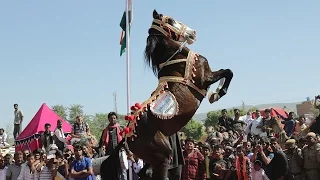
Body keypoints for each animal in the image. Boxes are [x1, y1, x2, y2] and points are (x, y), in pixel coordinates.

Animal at [101, 10, 234, 180]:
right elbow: (228, 72)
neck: (177, 58)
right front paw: (217, 94)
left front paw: (216, 93)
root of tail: (126, 138)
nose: (193, 33)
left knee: (145, 173)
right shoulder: (205, 79)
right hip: (163, 155)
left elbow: (227, 71)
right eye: (170, 20)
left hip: (152, 159)